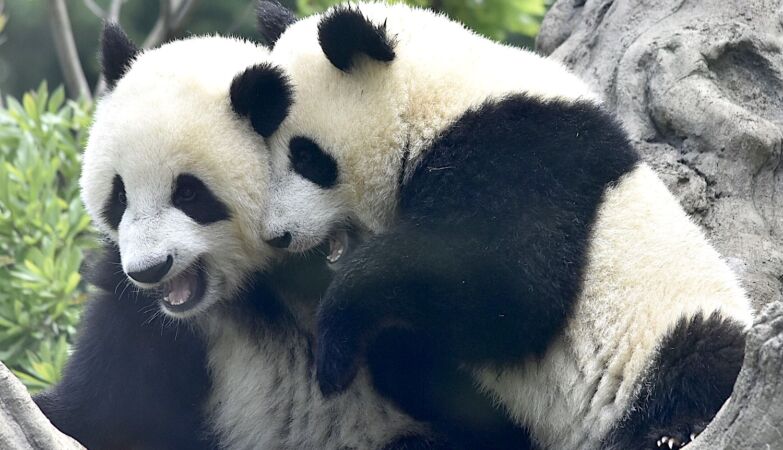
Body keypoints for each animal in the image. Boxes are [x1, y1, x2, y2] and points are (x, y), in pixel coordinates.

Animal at [34, 23, 452, 450]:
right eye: (119, 195)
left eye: (188, 193)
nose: (149, 270)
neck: (247, 289)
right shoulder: (141, 316)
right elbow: (101, 406)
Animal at [251, 2, 754, 449]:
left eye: (305, 156)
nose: (278, 235)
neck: (433, 97)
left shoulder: (526, 150)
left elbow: (516, 288)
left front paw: (335, 343)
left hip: (672, 329)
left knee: (700, 357)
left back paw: (672, 432)